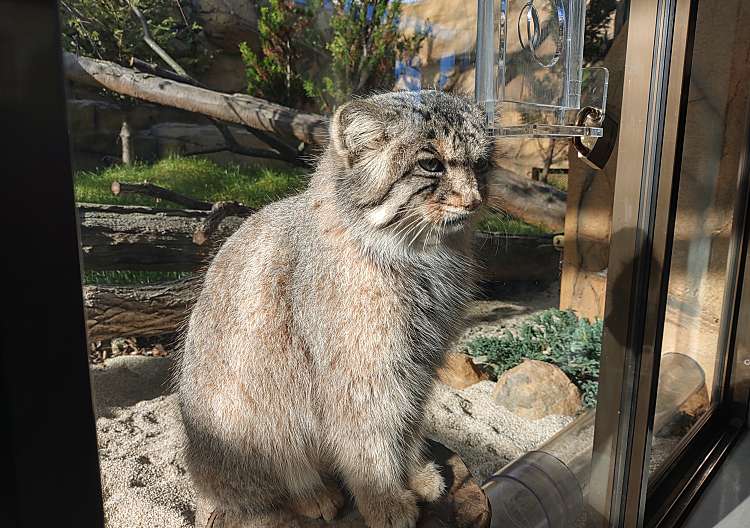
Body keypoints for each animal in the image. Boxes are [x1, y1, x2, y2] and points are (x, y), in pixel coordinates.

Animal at [178, 92, 496, 528]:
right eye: (431, 164)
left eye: (481, 164)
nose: (475, 200)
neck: (422, 259)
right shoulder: (363, 371)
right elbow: (370, 443)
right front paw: (384, 501)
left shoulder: (418, 367)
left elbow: (408, 425)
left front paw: (414, 473)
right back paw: (314, 494)